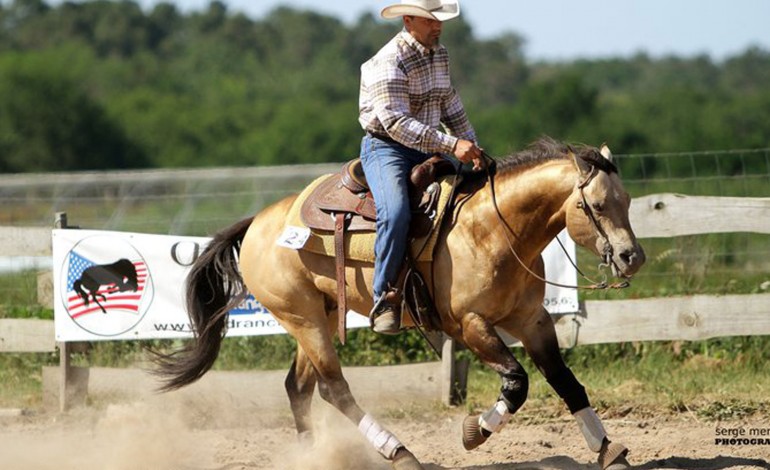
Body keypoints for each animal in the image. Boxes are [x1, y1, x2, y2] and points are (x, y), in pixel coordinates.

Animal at [150, 137, 640, 470]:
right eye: (597, 204)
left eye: (628, 200)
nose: (633, 256)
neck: (493, 230)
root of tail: (258, 222)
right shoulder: (469, 325)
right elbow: (517, 382)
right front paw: (474, 432)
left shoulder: (533, 320)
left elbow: (566, 382)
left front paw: (607, 449)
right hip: (302, 317)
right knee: (333, 388)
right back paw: (399, 451)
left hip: (319, 315)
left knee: (298, 387)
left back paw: (313, 456)